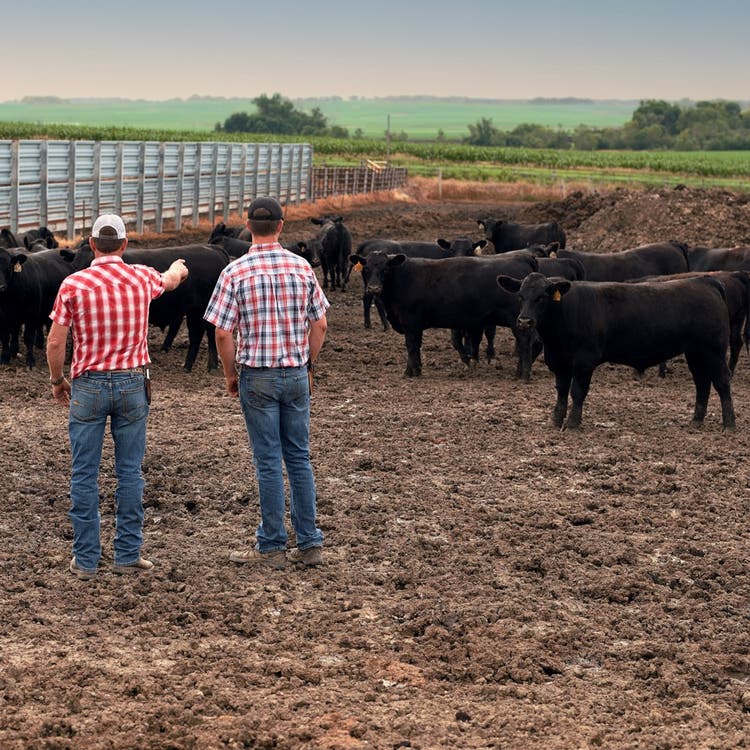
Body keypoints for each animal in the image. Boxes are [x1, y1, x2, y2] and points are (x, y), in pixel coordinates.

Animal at [68, 244, 229, 374]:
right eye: (75, 264)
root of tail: (212, 248)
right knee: (210, 333)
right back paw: (211, 365)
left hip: (197, 310)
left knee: (198, 335)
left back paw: (190, 366)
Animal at [352, 251, 540, 378]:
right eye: (366, 269)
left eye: (385, 269)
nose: (374, 288)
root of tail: (522, 256)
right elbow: (415, 346)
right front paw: (415, 369)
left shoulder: (411, 322)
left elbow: (411, 345)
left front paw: (410, 372)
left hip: (519, 320)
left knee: (525, 342)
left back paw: (523, 374)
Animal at [496, 274, 736, 432]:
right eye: (520, 296)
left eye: (542, 297)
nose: (524, 321)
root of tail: (704, 281)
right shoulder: (559, 361)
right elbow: (561, 391)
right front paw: (556, 420)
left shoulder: (585, 360)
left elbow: (577, 391)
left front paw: (572, 424)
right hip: (695, 352)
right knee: (702, 383)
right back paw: (696, 421)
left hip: (714, 350)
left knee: (722, 382)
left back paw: (729, 424)